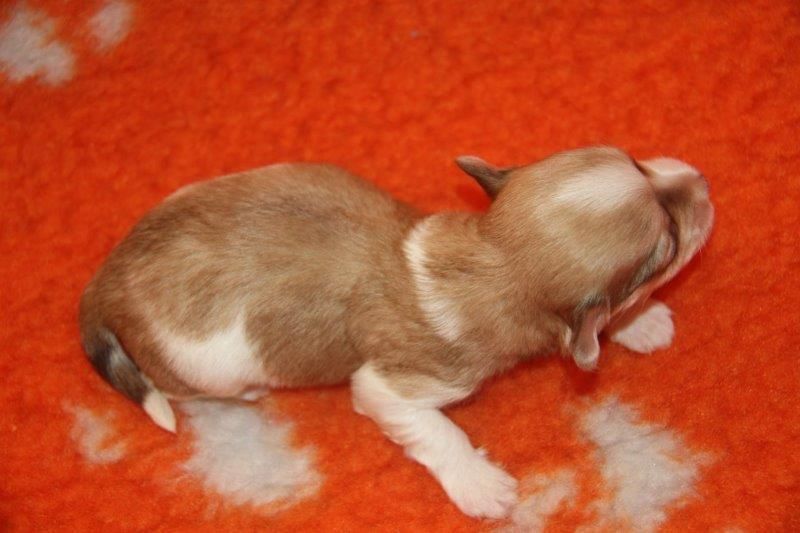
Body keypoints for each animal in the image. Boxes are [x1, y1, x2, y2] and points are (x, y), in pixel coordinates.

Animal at [79, 146, 713, 518]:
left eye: (636, 160)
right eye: (667, 244)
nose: (703, 178)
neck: (489, 257)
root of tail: (105, 282)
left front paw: (641, 322)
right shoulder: (393, 386)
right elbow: (437, 430)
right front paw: (481, 484)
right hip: (207, 365)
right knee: (181, 388)